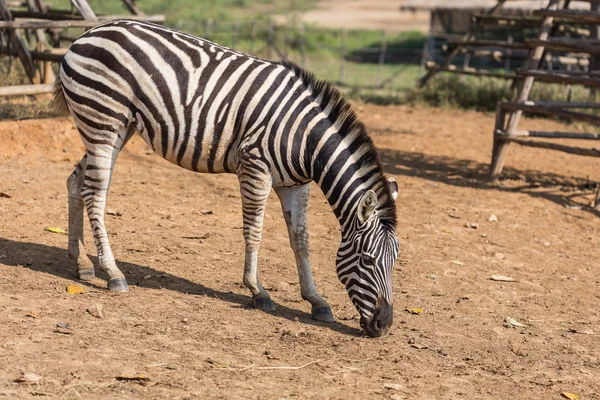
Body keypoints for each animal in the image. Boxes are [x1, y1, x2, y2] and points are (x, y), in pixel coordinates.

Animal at [56, 19, 400, 338]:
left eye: (395, 262)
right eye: (367, 260)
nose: (383, 325)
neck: (306, 140)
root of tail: (90, 32)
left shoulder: (296, 185)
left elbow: (301, 240)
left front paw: (316, 300)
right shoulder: (255, 169)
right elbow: (254, 232)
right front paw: (258, 291)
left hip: (116, 130)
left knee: (76, 182)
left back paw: (81, 263)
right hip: (103, 123)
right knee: (95, 194)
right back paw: (113, 273)